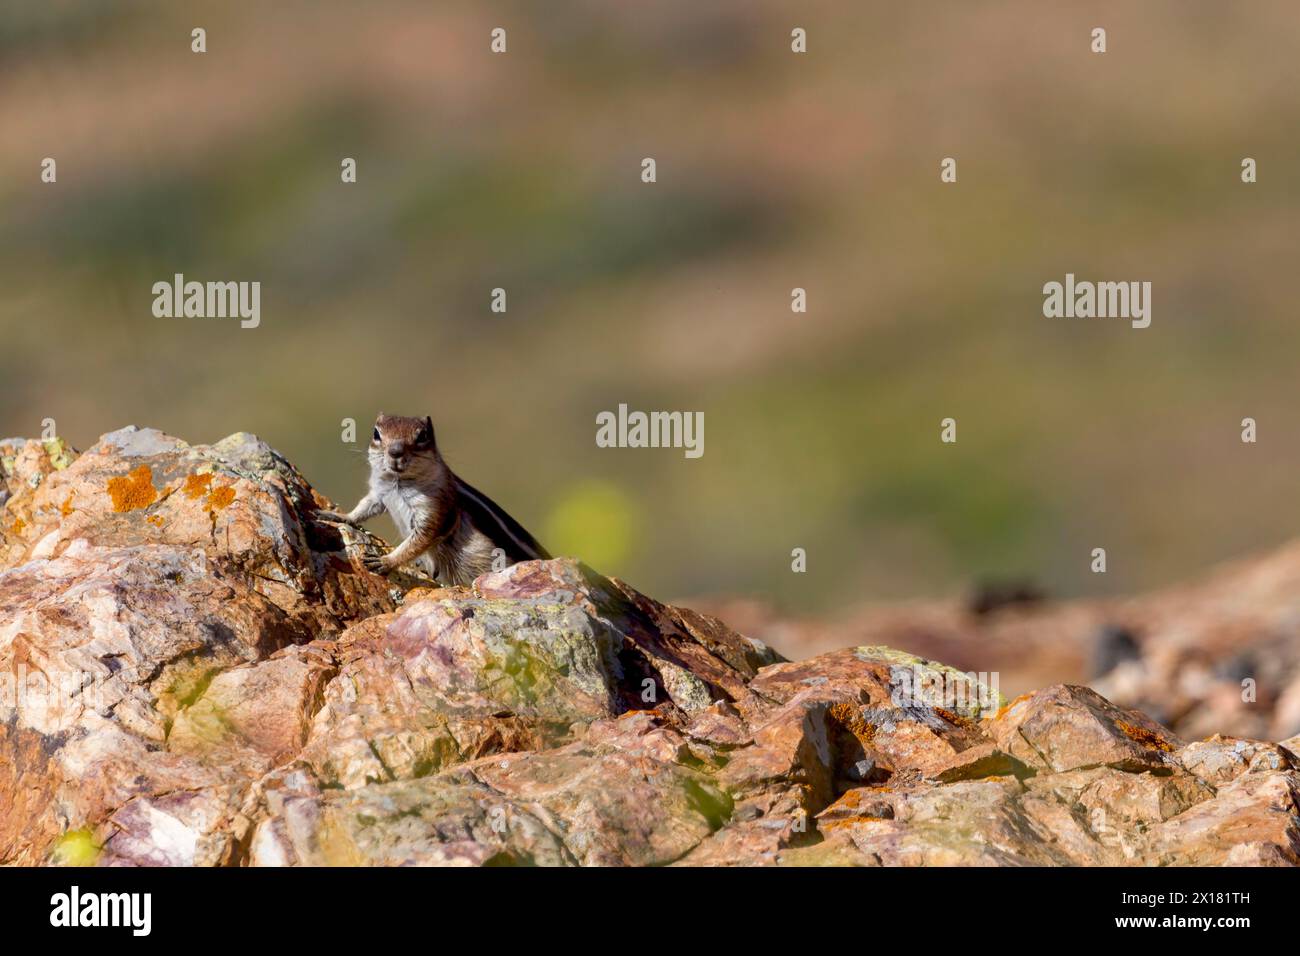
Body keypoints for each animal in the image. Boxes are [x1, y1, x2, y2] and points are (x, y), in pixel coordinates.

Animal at [317, 413, 551, 585]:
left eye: (422, 436)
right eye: (376, 433)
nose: (395, 451)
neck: (397, 482)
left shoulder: (434, 509)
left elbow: (418, 541)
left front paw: (385, 561)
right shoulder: (379, 494)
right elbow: (364, 508)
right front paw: (337, 516)